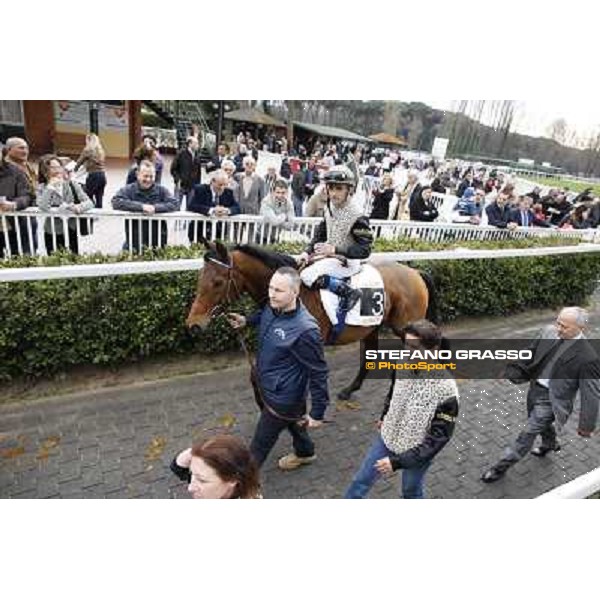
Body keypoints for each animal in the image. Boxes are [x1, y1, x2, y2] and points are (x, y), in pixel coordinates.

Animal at [184, 238, 436, 398]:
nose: (193, 324)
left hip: (404, 329)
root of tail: (415, 272)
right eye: (200, 276)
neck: (293, 292)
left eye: (218, 282)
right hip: (371, 327)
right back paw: (349, 390)